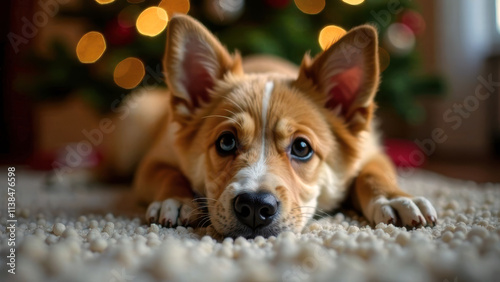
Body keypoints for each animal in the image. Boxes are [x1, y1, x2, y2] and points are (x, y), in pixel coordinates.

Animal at [104, 14, 434, 238]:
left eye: (301, 147)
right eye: (226, 142)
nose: (253, 207)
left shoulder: (372, 152)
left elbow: (373, 174)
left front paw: (395, 199)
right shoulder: (154, 160)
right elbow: (168, 173)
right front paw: (174, 200)